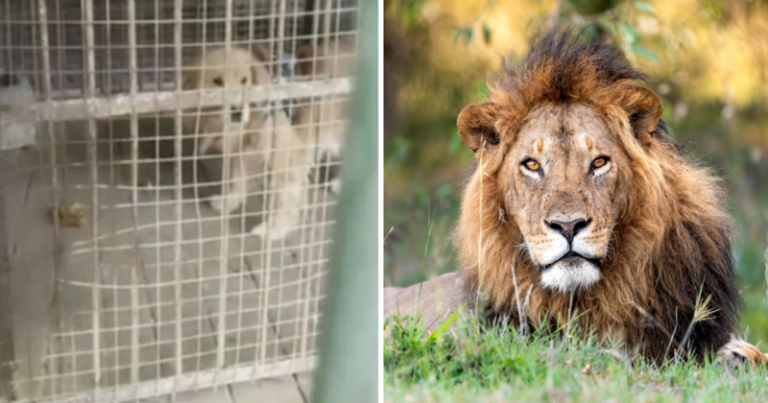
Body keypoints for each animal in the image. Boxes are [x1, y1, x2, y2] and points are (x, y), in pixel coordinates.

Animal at [182, 45, 310, 241]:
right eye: (217, 81)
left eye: (244, 80)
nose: (237, 111)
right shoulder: (236, 151)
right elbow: (237, 180)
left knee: (286, 204)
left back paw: (272, 229)